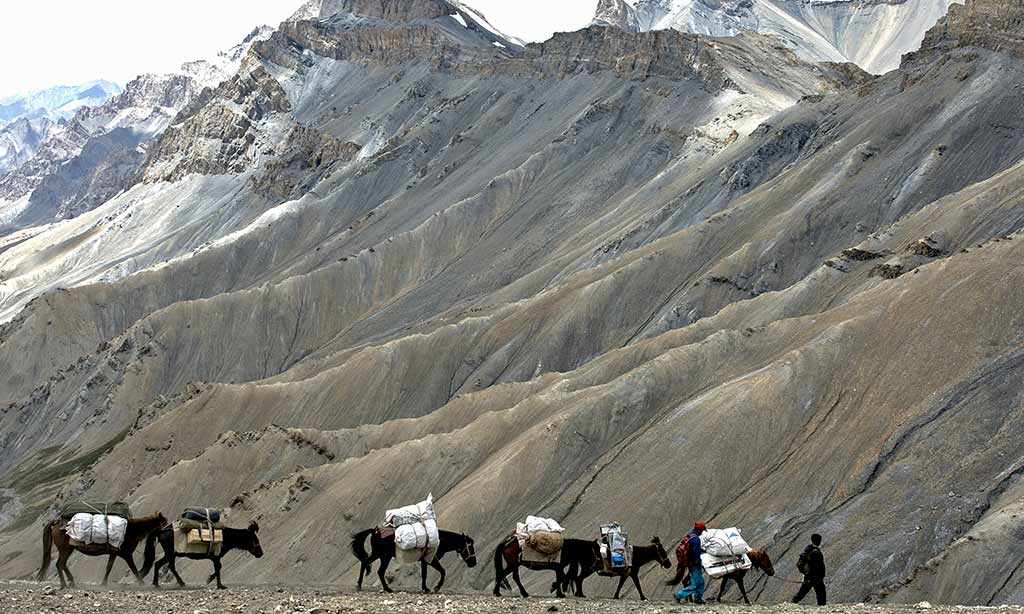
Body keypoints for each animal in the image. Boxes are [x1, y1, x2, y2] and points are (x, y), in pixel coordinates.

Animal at [37, 511, 166, 589]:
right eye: (164, 522)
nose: (167, 532)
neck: (132, 530)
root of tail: (57, 522)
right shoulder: (126, 554)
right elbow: (134, 569)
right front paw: (142, 583)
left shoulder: (114, 553)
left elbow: (109, 567)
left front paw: (103, 583)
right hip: (65, 549)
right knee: (60, 564)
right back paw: (64, 584)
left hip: (68, 549)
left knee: (62, 564)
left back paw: (71, 582)